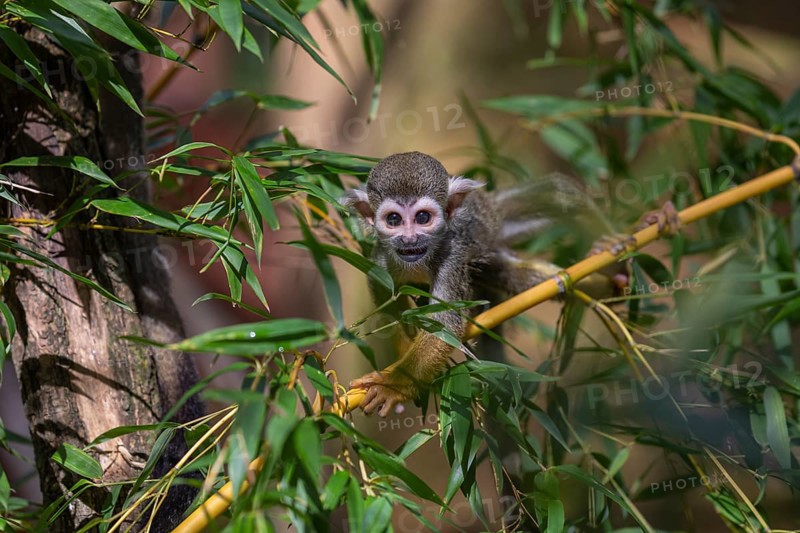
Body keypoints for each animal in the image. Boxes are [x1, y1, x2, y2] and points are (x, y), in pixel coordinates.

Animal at [342, 151, 669, 417]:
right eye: (394, 220)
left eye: (422, 217)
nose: (410, 240)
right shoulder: (380, 259)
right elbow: (387, 303)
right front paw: (404, 354)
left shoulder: (451, 254)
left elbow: (444, 324)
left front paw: (395, 384)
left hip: (497, 222)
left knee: (557, 193)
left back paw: (614, 255)